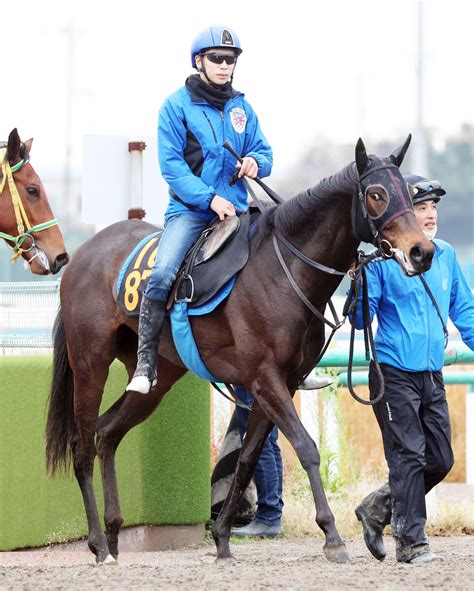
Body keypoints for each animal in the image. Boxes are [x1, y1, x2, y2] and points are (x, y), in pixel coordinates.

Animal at [45, 136, 434, 568]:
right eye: (376, 194)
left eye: (409, 194)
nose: (422, 251)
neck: (285, 271)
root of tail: (79, 257)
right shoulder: (266, 379)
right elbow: (306, 448)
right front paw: (332, 536)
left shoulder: (281, 383)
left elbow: (247, 459)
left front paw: (222, 538)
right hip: (90, 363)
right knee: (82, 446)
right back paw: (98, 543)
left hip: (157, 379)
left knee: (109, 432)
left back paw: (114, 537)